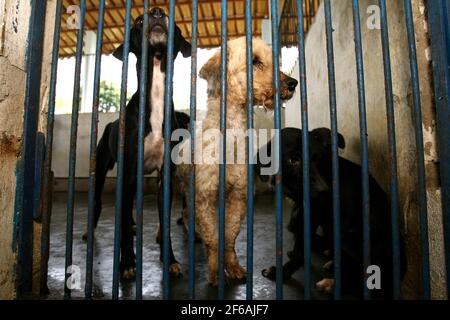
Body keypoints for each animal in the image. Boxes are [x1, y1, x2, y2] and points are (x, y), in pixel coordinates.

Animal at [90, 6, 191, 278]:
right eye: (137, 20)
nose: (156, 11)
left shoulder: (164, 177)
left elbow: (164, 222)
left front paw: (171, 260)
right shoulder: (127, 172)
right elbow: (123, 224)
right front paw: (127, 263)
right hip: (102, 170)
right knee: (103, 204)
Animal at [177, 37, 298, 284]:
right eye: (255, 61)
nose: (293, 83)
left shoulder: (238, 197)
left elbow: (230, 235)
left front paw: (233, 267)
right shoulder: (204, 197)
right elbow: (213, 239)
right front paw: (215, 271)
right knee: (186, 215)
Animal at [256, 128, 408, 300]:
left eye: (318, 159)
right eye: (293, 159)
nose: (324, 189)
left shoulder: (314, 212)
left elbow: (300, 247)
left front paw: (283, 272)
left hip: (349, 235)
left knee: (369, 280)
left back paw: (333, 283)